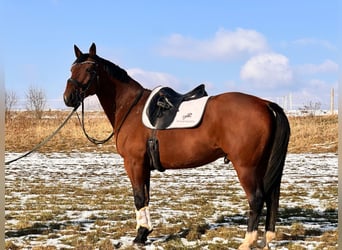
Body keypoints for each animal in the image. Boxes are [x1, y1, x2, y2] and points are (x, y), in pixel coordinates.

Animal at [63, 43, 288, 250]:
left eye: (90, 70)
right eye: (72, 69)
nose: (68, 98)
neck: (131, 108)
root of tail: (265, 104)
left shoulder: (134, 163)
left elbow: (138, 198)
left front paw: (139, 236)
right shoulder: (144, 166)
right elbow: (146, 197)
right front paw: (145, 233)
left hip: (246, 166)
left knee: (256, 199)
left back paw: (247, 242)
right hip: (262, 165)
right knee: (271, 196)